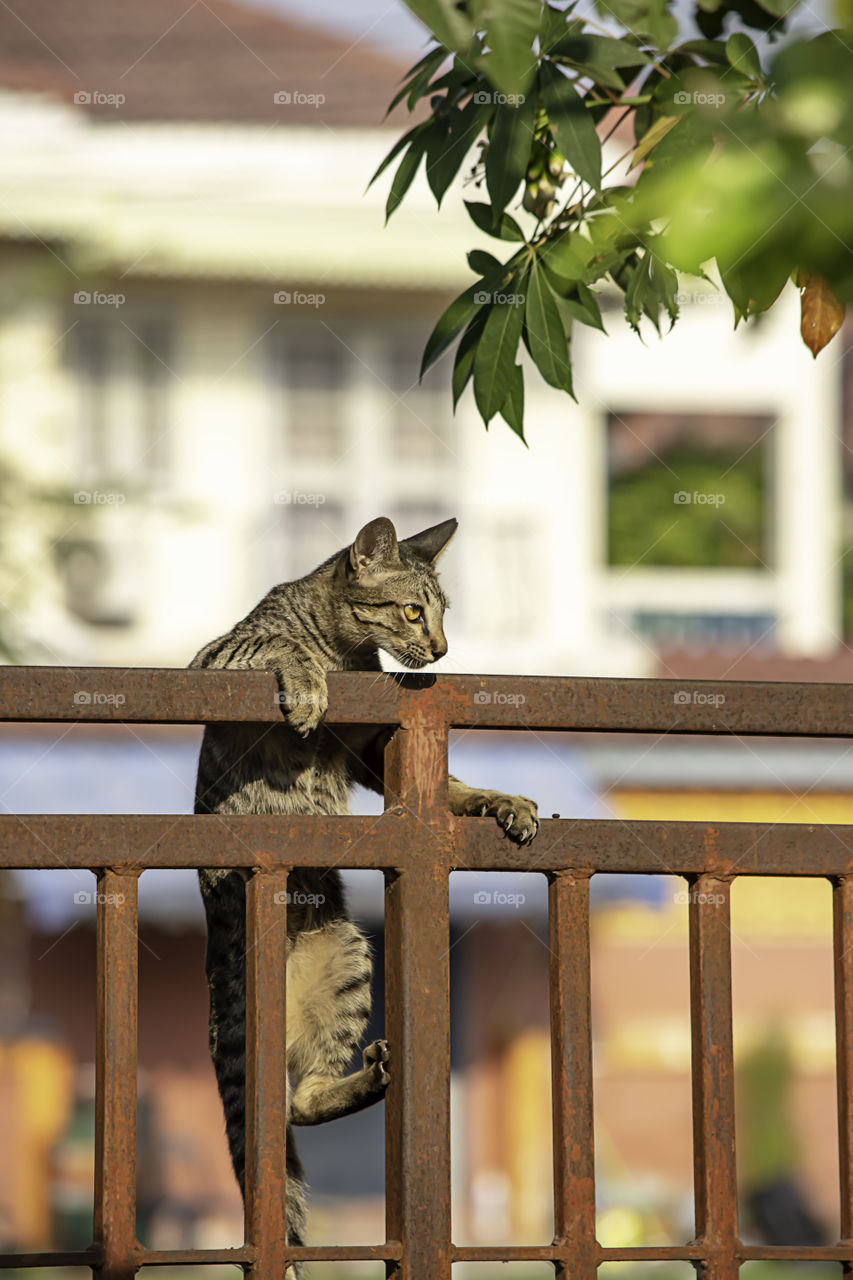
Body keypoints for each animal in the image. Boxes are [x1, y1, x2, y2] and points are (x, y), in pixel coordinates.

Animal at [190, 517, 537, 1269]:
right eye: (411, 612)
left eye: (442, 614)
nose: (441, 649)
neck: (348, 653)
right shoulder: (216, 655)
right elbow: (276, 644)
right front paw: (306, 681)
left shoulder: (375, 746)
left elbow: (448, 784)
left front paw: (496, 800)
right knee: (282, 1106)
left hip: (347, 957)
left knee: (302, 1098)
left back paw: (365, 1080)